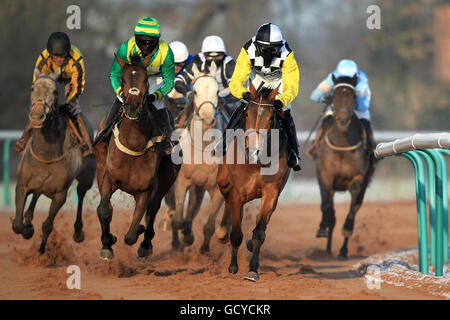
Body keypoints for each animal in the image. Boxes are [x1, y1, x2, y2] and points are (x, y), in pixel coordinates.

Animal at [12, 69, 96, 254]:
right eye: (32, 88)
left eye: (55, 91)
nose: (37, 115)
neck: (45, 155)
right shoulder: (22, 185)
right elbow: (17, 225)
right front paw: (26, 227)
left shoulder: (59, 194)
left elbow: (47, 225)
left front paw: (41, 249)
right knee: (36, 195)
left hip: (86, 178)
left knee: (81, 193)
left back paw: (78, 232)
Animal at [94, 54, 178, 260]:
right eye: (123, 80)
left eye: (146, 80)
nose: (132, 107)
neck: (133, 143)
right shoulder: (109, 178)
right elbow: (105, 210)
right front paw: (107, 244)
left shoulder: (145, 190)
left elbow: (132, 234)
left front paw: (138, 230)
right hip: (100, 167)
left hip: (166, 180)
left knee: (153, 211)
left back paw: (146, 244)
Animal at [170, 62, 225, 252]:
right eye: (194, 91)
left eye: (217, 91)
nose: (208, 117)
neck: (203, 148)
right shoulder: (182, 180)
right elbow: (178, 219)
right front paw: (186, 237)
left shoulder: (217, 188)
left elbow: (209, 226)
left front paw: (204, 250)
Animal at [215, 82, 292, 280]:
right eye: (248, 113)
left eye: (271, 116)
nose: (254, 150)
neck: (257, 162)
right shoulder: (237, 194)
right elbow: (236, 233)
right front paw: (233, 267)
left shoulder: (271, 194)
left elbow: (259, 232)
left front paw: (252, 270)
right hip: (223, 181)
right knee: (226, 203)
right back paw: (221, 232)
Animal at [316, 74, 376, 258]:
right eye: (334, 96)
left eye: (353, 96)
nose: (342, 119)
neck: (342, 144)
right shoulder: (326, 174)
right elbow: (327, 207)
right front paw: (323, 228)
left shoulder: (359, 176)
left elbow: (353, 204)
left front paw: (347, 228)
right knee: (330, 210)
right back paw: (328, 247)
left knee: (355, 206)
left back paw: (343, 249)